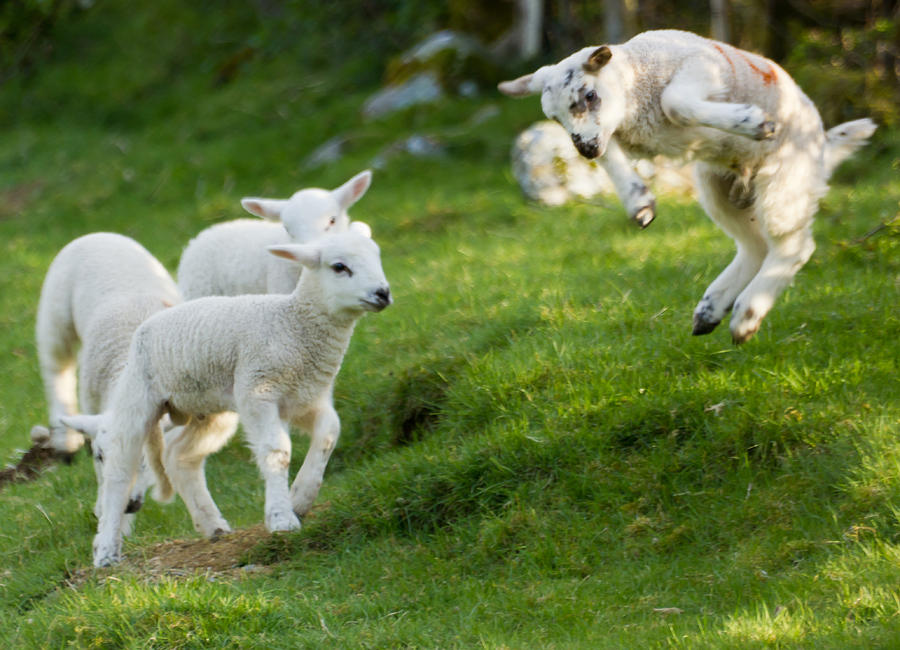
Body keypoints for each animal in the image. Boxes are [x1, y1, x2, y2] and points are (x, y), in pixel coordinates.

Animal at [30, 233, 178, 532]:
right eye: (99, 456)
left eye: (143, 459)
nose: (128, 505)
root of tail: (99, 234)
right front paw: (111, 517)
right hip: (55, 316)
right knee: (56, 370)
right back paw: (65, 441)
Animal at [59, 230, 390, 564]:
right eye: (339, 267)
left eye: (378, 257)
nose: (383, 293)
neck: (293, 326)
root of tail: (149, 322)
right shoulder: (258, 390)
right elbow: (277, 451)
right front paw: (281, 518)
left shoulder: (303, 398)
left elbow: (329, 433)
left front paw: (301, 498)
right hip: (137, 393)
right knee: (119, 469)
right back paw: (106, 550)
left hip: (207, 409)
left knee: (179, 457)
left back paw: (211, 524)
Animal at [496, 29, 876, 344]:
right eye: (554, 118)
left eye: (590, 95)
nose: (584, 150)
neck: (637, 93)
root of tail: (823, 146)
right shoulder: (620, 137)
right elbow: (610, 159)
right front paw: (639, 203)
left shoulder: (700, 69)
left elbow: (675, 103)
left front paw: (754, 122)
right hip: (717, 187)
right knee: (754, 246)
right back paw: (711, 310)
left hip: (785, 180)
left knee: (793, 247)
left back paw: (746, 316)